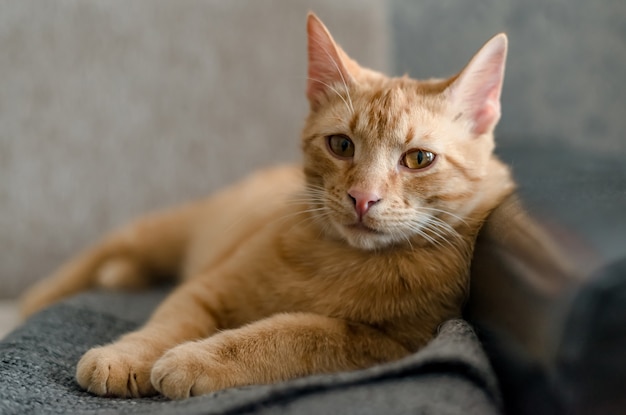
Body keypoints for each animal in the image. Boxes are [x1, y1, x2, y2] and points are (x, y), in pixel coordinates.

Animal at [22, 13, 516, 400]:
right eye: (341, 145)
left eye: (418, 159)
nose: (362, 197)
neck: (345, 260)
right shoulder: (208, 287)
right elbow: (167, 322)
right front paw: (127, 355)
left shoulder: (390, 344)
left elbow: (295, 333)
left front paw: (194, 360)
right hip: (162, 232)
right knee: (84, 264)